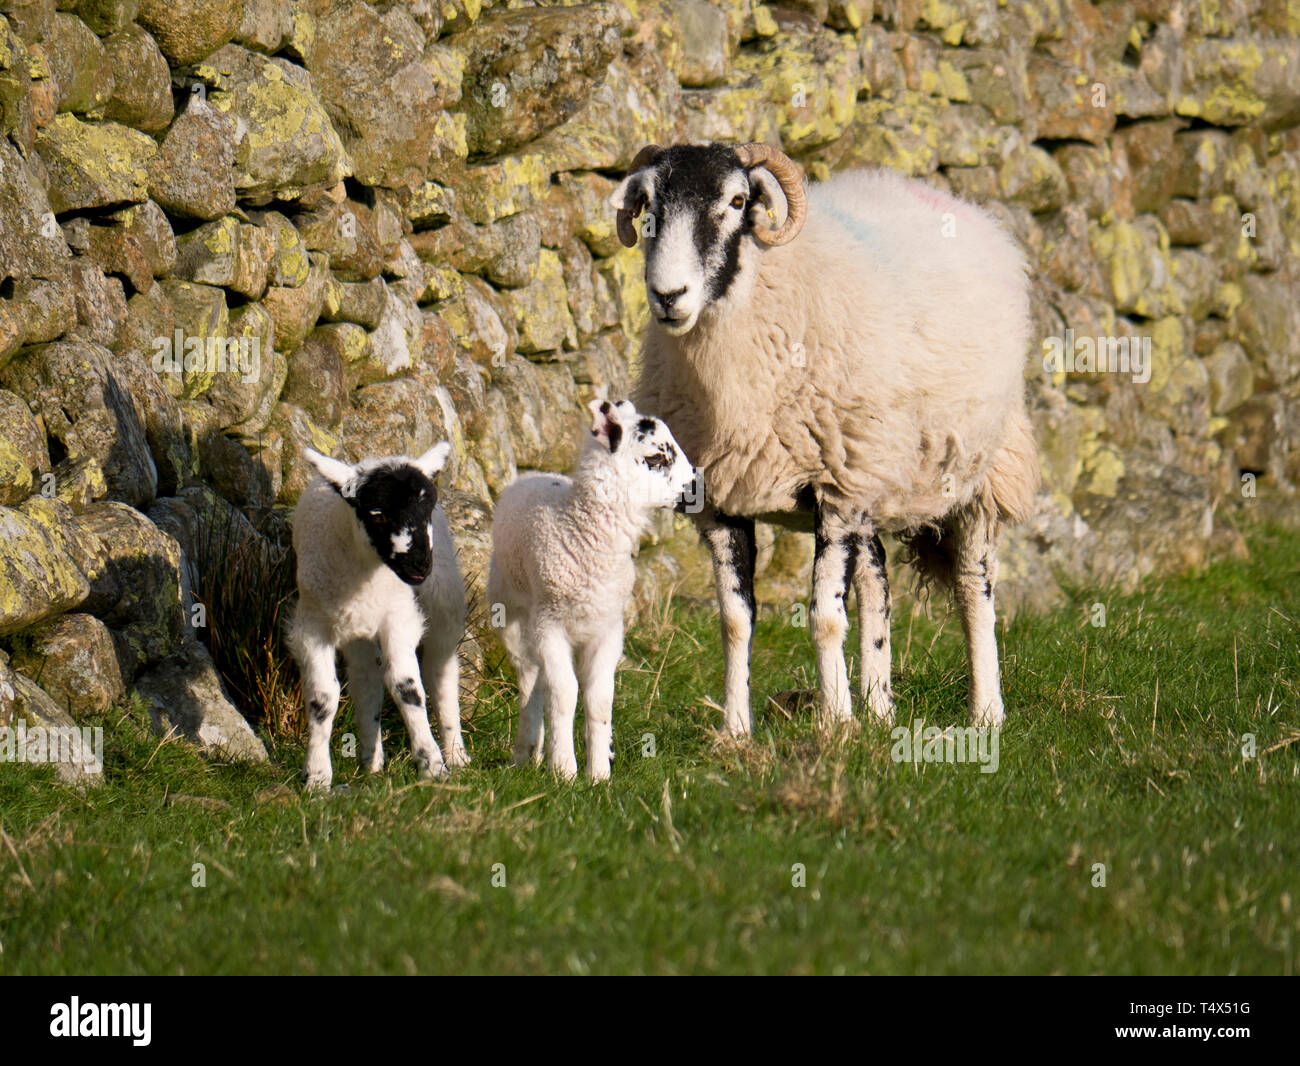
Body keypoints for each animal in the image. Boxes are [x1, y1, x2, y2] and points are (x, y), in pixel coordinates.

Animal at [289, 443, 469, 791]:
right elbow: (322, 697)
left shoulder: (398, 619)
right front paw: (317, 776)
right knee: (366, 679)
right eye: (379, 515)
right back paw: (370, 762)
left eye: (426, 510)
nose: (420, 565)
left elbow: (406, 687)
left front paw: (432, 764)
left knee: (441, 670)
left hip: (443, 600)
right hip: (356, 629)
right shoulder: (313, 627)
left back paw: (455, 752)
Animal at [487, 398, 701, 782]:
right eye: (656, 458)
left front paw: (599, 775)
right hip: (512, 615)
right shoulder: (550, 624)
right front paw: (564, 771)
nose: (696, 486)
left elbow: (599, 697)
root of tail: (528, 476)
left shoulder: (608, 628)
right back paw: (525, 754)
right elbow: (564, 693)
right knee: (529, 679)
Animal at [610, 142, 1039, 736]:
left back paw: (986, 714)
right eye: (647, 201)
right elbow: (735, 621)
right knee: (877, 579)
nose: (668, 295)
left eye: (738, 201)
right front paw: (735, 733)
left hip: (980, 471)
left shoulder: (836, 488)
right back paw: (880, 707)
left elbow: (824, 618)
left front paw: (835, 724)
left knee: (974, 586)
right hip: (876, 474)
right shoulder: (720, 498)